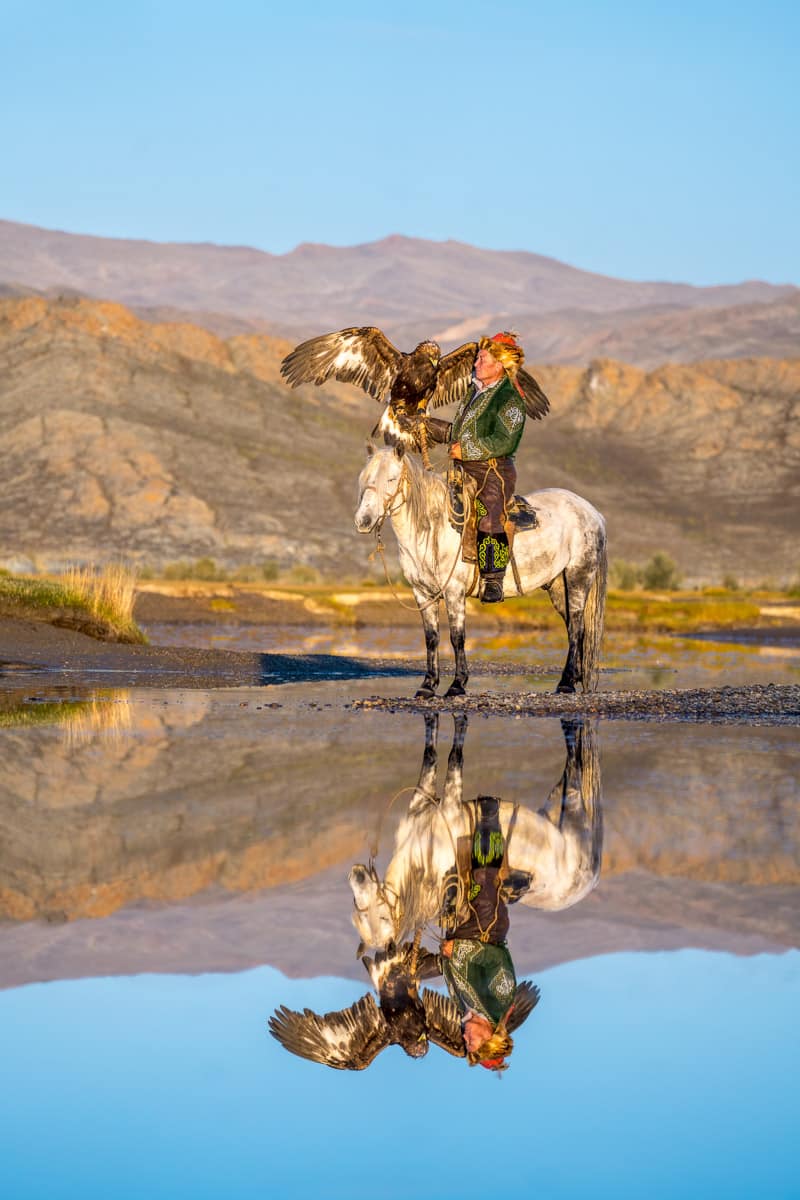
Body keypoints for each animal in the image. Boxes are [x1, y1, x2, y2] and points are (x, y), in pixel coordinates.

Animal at [347, 710, 604, 955]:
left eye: (379, 916)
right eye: (361, 912)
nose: (355, 874)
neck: (422, 855)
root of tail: (590, 880)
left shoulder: (429, 798)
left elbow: (437, 755)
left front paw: (439, 713)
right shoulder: (446, 805)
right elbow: (447, 759)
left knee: (574, 762)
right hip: (564, 805)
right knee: (573, 768)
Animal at [357, 448, 606, 696]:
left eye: (391, 479)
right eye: (365, 478)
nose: (363, 520)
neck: (432, 528)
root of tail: (592, 512)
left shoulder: (454, 591)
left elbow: (457, 637)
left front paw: (457, 684)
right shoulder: (423, 593)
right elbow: (431, 638)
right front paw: (427, 685)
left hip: (578, 577)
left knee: (576, 628)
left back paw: (565, 683)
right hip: (558, 587)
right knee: (576, 629)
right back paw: (574, 678)